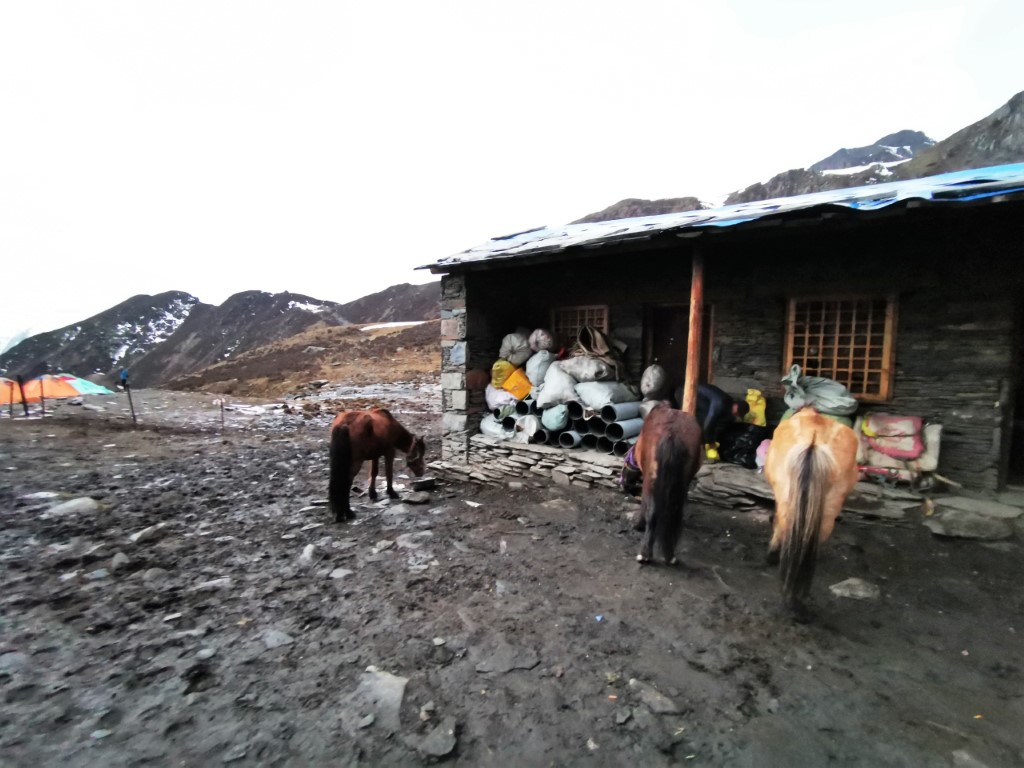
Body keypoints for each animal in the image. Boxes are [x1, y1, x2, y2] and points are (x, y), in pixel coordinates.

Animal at [630, 403, 704, 565]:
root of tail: (672, 434)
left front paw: (638, 524)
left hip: (650, 479)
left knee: (652, 511)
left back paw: (645, 554)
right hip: (682, 481)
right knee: (675, 511)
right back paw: (669, 554)